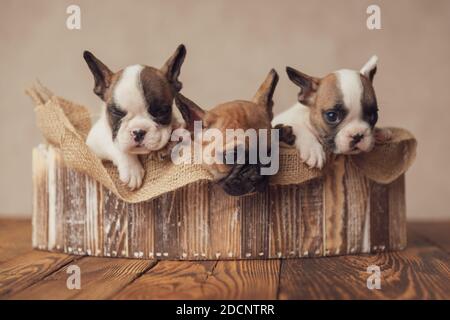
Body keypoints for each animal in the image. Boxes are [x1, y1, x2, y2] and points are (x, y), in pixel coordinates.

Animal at [83, 43, 185, 189]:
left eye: (162, 111)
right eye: (117, 112)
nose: (138, 131)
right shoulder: (95, 141)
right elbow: (115, 144)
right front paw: (132, 169)